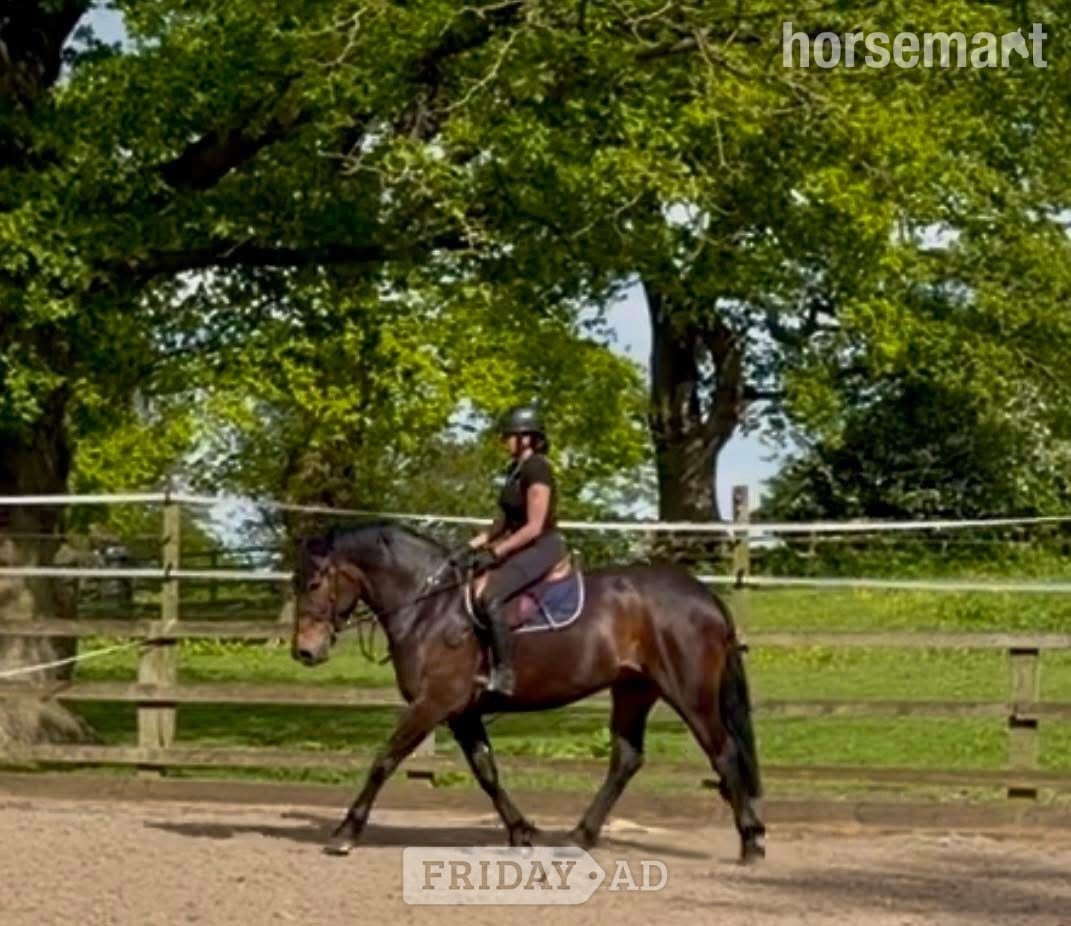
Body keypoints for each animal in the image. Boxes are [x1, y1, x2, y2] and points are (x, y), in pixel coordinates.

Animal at [290, 521, 766, 862]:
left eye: (313, 584)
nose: (304, 651)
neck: (431, 608)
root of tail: (702, 594)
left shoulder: (433, 704)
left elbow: (384, 761)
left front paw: (345, 833)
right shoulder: (461, 712)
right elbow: (486, 771)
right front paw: (521, 832)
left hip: (689, 694)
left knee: (724, 754)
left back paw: (751, 843)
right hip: (634, 690)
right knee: (627, 759)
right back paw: (579, 835)